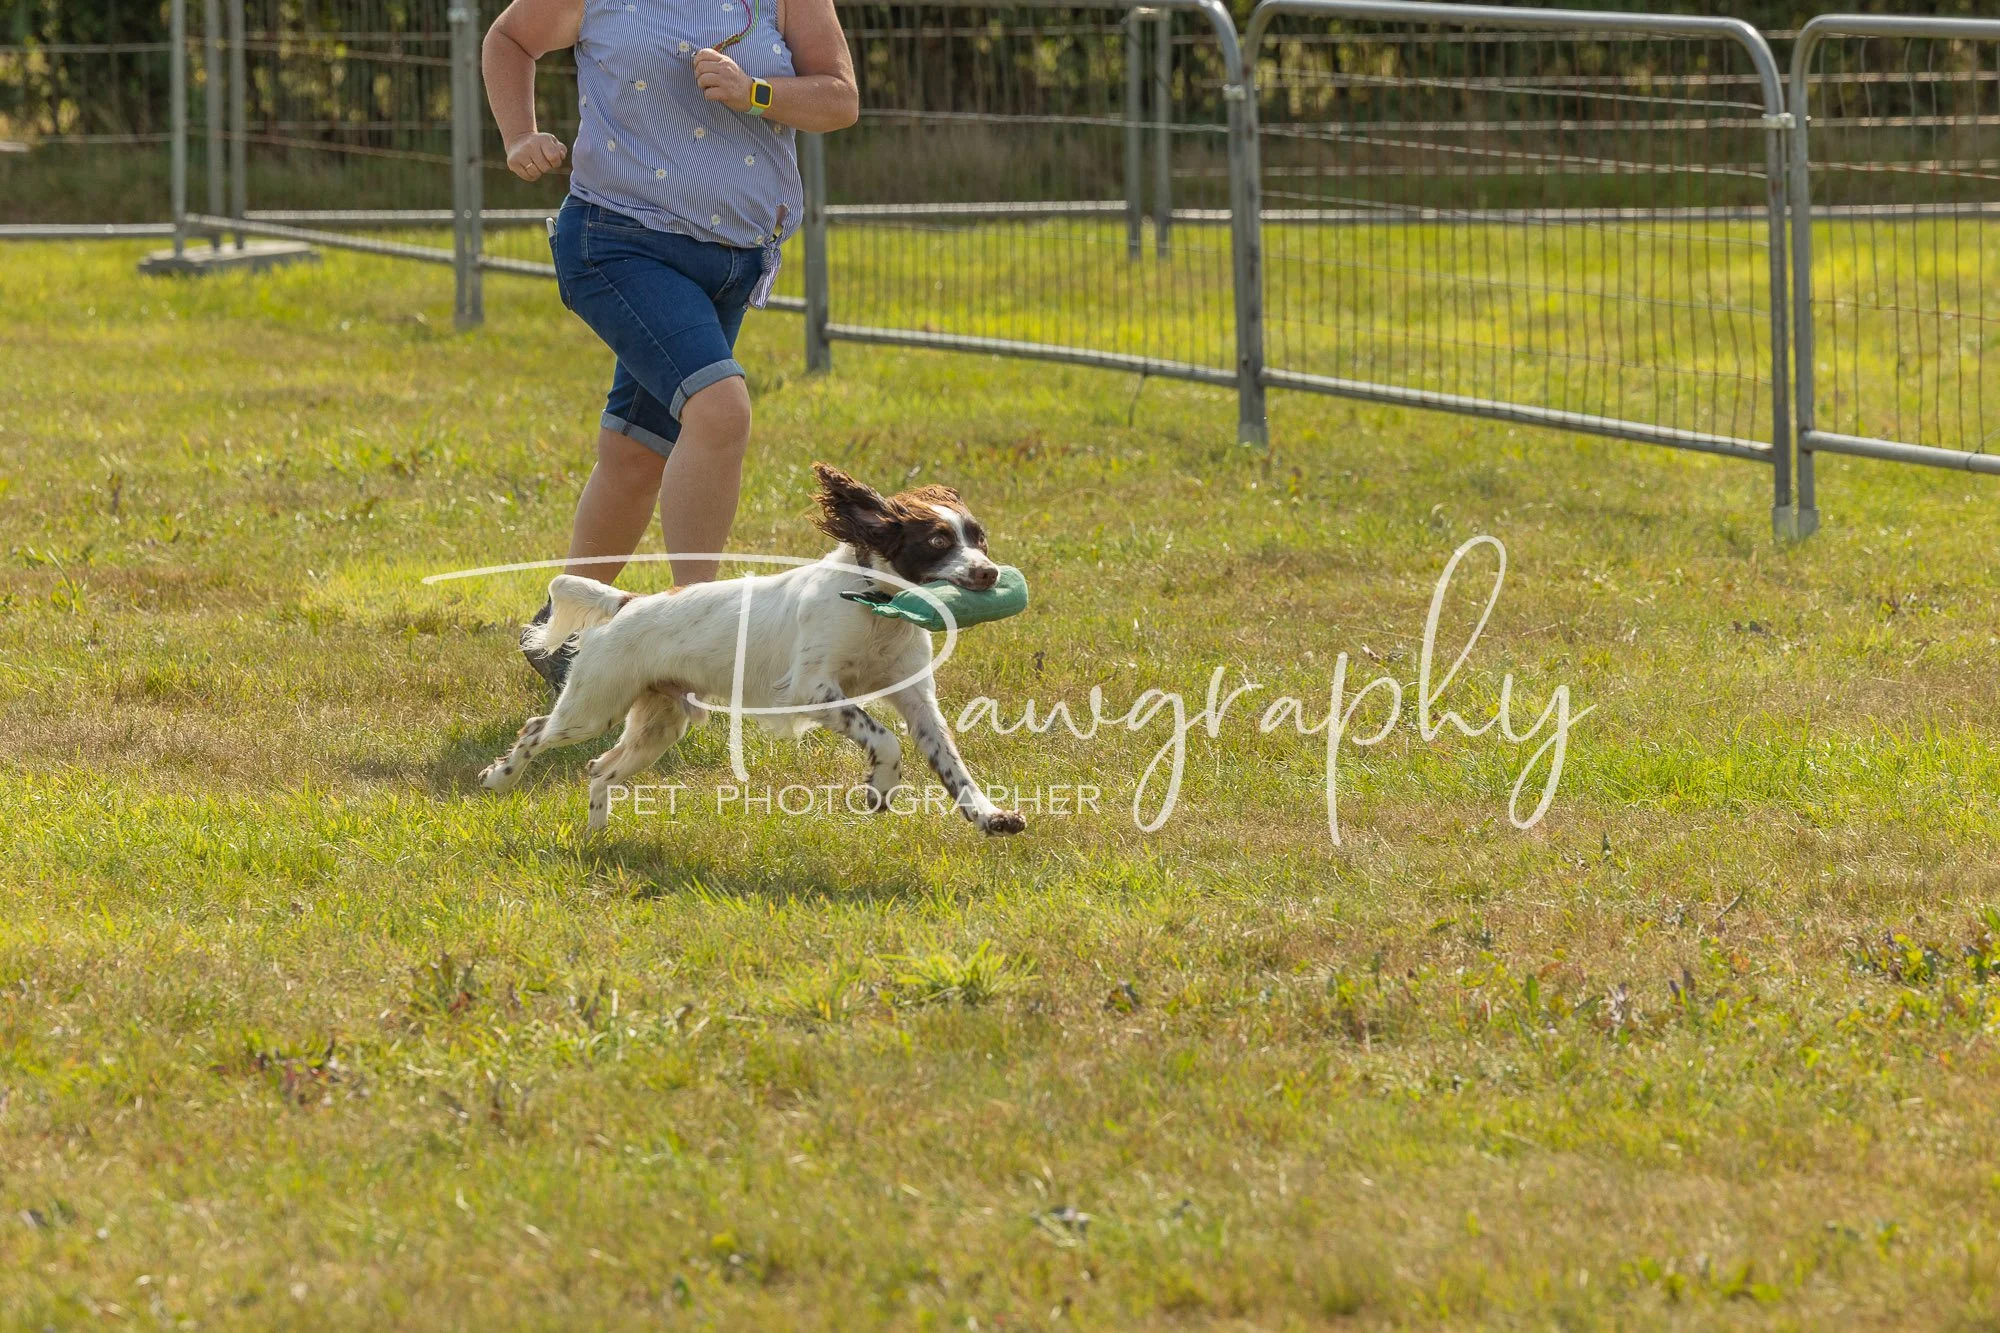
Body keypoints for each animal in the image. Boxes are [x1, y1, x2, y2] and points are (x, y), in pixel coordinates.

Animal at [478, 463, 1027, 836]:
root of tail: (628, 601)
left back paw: (597, 834)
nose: (989, 573)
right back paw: (498, 779)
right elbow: (885, 739)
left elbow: (952, 764)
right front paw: (879, 787)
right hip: (593, 707)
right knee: (536, 730)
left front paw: (990, 816)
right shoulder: (809, 689)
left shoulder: (917, 699)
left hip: (659, 724)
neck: (876, 610)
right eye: (937, 541)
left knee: (599, 768)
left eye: (979, 539)